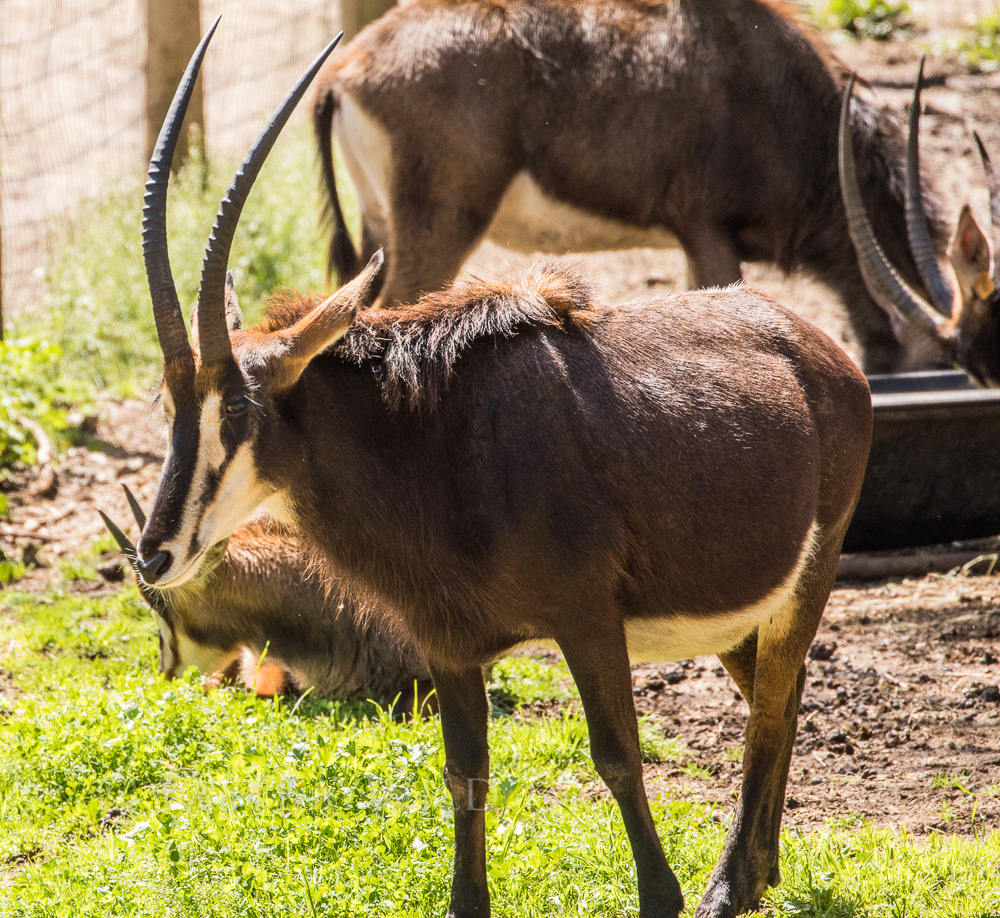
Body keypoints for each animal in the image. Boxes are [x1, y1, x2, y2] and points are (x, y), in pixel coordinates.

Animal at [131, 23, 868, 918]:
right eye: (169, 405)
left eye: (237, 411)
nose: (155, 554)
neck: (432, 450)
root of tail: (822, 351)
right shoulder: (448, 647)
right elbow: (464, 775)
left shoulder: (588, 621)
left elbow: (616, 756)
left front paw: (662, 894)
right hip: (737, 613)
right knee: (776, 696)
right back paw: (759, 874)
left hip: (805, 580)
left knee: (769, 708)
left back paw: (727, 885)